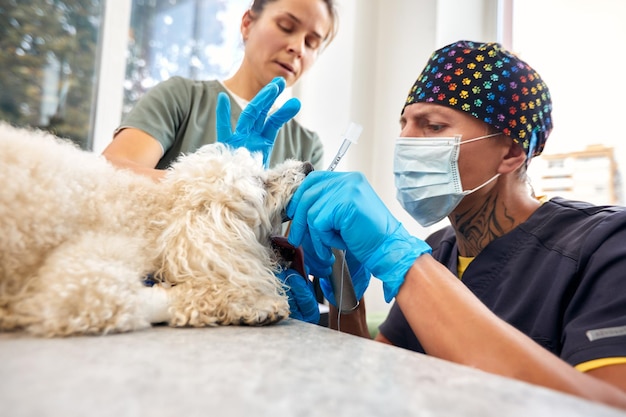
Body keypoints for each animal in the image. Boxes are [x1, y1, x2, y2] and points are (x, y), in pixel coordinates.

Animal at [0, 122, 312, 336]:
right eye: (262, 184)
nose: (308, 166)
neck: (154, 216)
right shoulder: (77, 280)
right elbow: (160, 297)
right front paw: (254, 304)